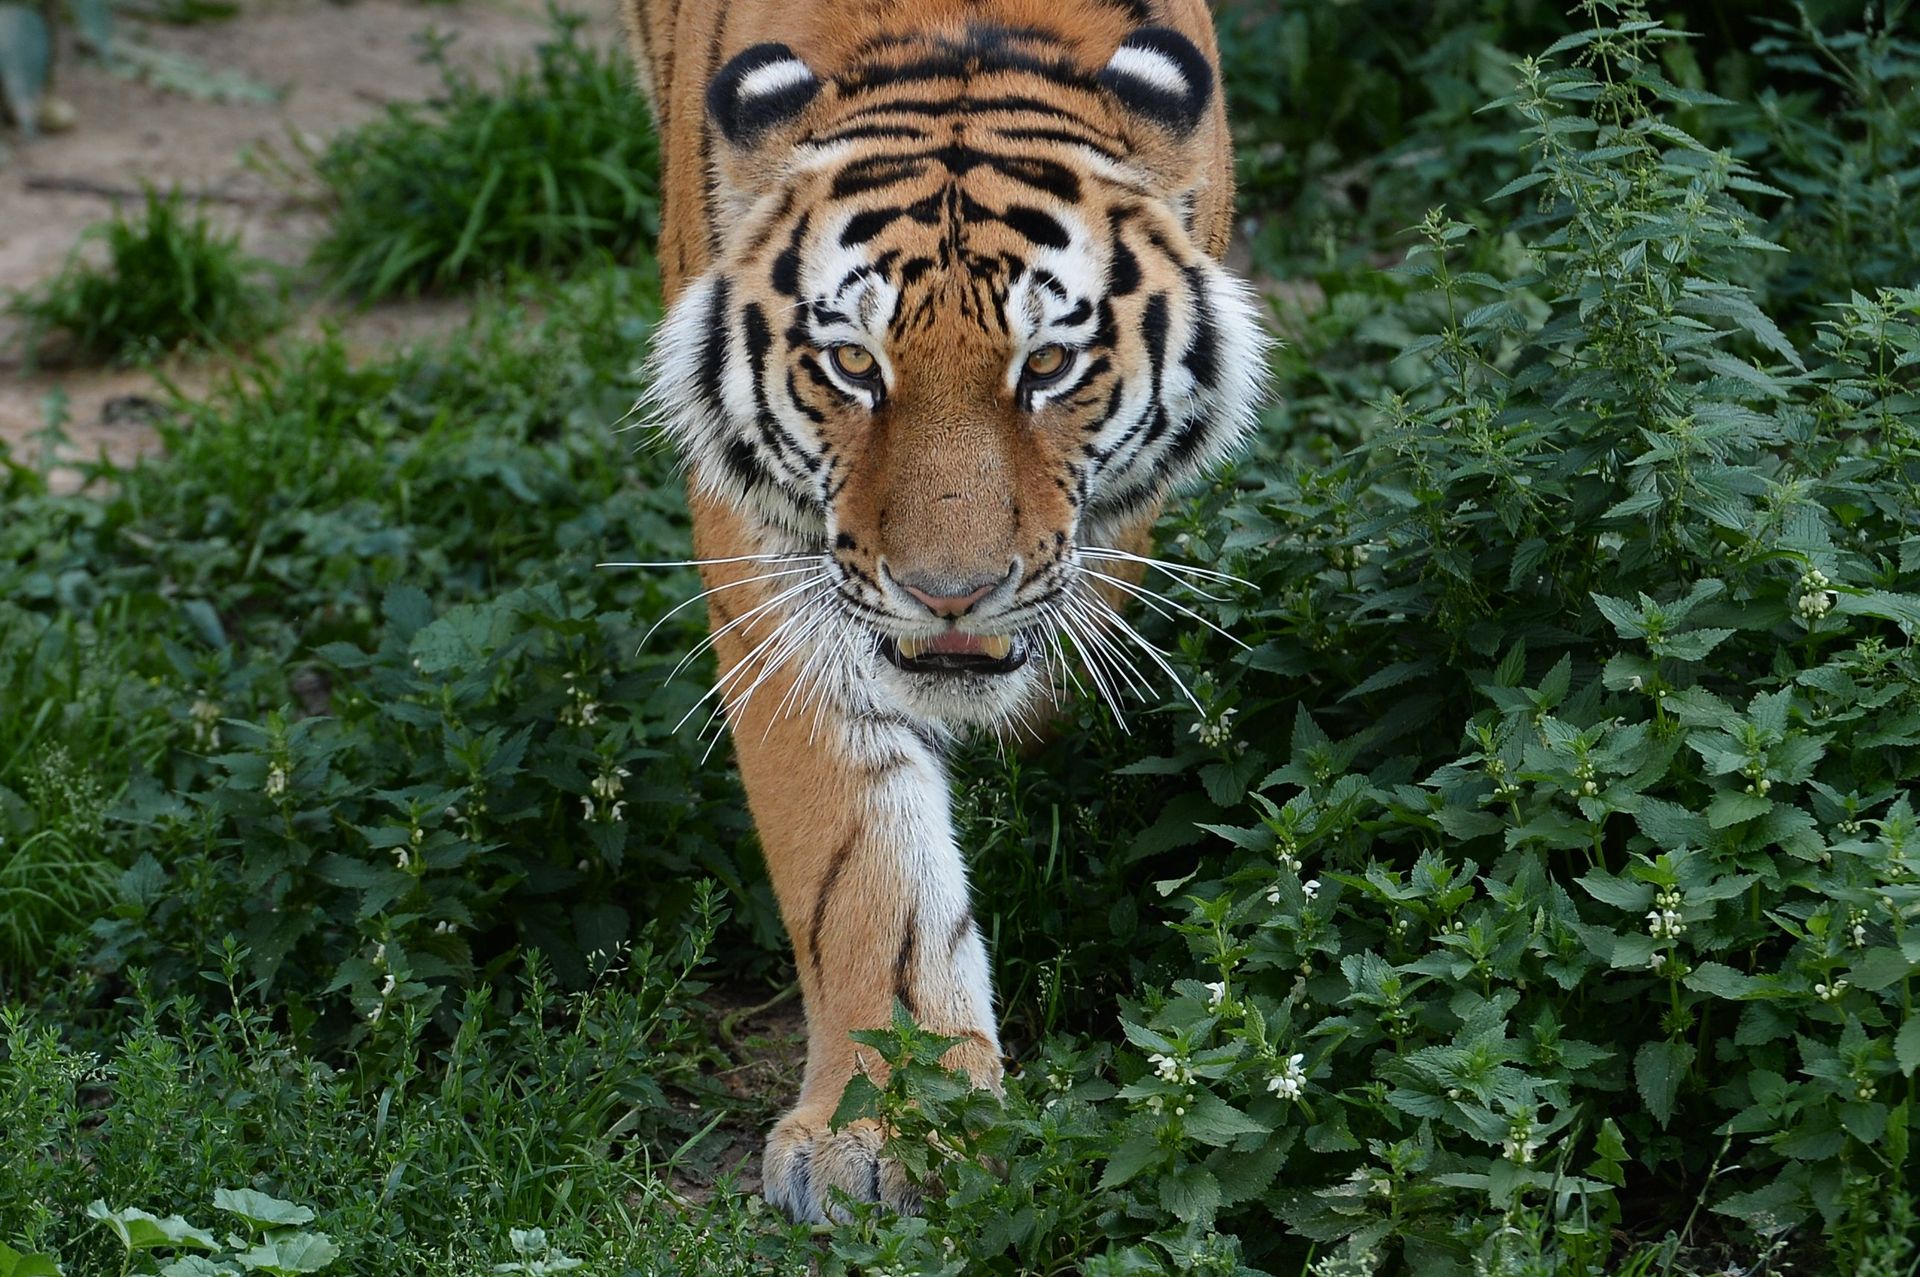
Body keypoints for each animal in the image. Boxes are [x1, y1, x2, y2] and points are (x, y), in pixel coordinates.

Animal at [620, 0, 1267, 1222]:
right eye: (851, 363)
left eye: (1049, 364)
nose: (949, 593)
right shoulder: (778, 570)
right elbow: (861, 863)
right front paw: (889, 1124)